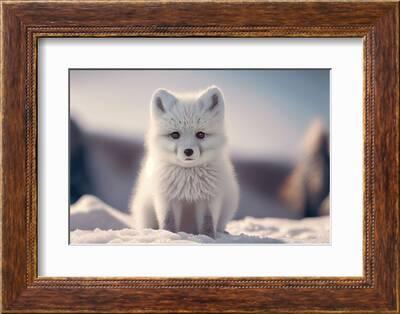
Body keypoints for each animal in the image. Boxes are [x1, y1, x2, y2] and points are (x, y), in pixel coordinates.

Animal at [130, 86, 239, 238]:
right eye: (175, 134)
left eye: (200, 134)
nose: (188, 151)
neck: (188, 180)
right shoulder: (167, 198)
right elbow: (168, 222)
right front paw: (168, 236)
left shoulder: (209, 198)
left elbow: (208, 223)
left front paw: (209, 238)